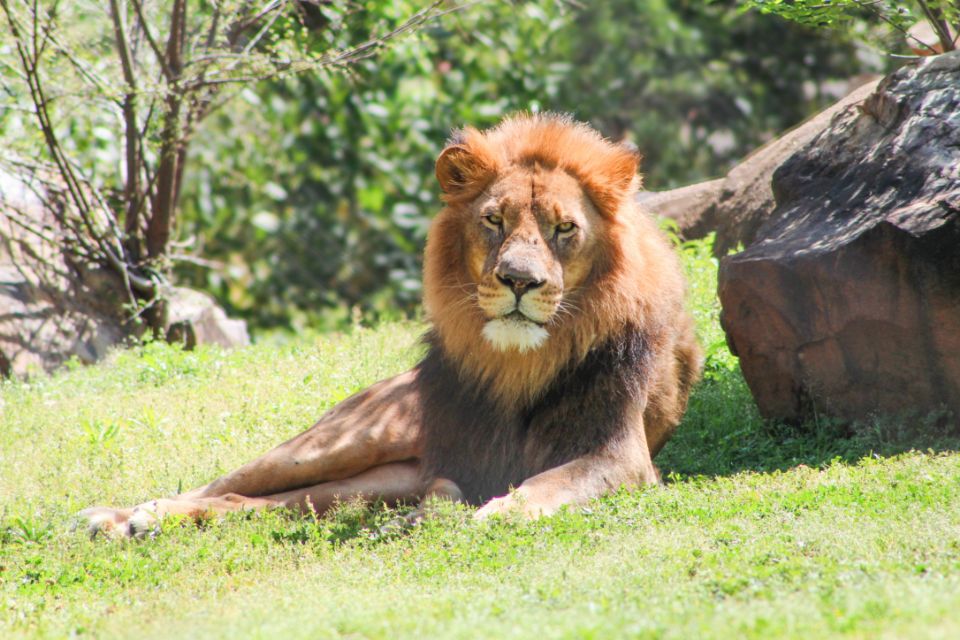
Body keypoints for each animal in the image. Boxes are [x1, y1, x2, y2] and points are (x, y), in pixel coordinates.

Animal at [81, 113, 702, 537]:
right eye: (494, 220)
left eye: (564, 228)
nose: (519, 281)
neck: (520, 361)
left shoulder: (620, 455)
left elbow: (546, 483)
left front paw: (494, 513)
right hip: (342, 440)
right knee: (224, 484)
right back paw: (123, 516)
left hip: (383, 479)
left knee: (260, 504)